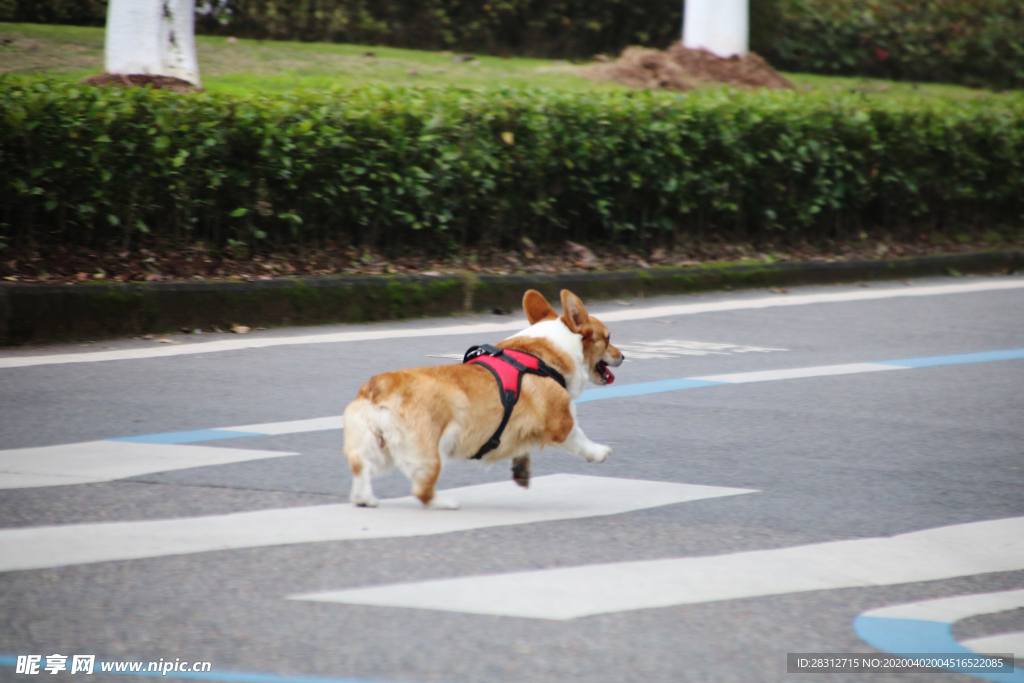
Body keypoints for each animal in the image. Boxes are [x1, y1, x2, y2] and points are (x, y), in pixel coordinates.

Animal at [344, 288, 622, 507]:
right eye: (608, 338)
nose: (622, 356)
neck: (545, 353)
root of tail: (378, 387)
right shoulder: (562, 423)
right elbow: (581, 440)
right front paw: (599, 452)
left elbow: (521, 448)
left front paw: (521, 470)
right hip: (429, 455)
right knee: (421, 490)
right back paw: (444, 503)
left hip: (378, 448)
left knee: (361, 466)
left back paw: (364, 498)